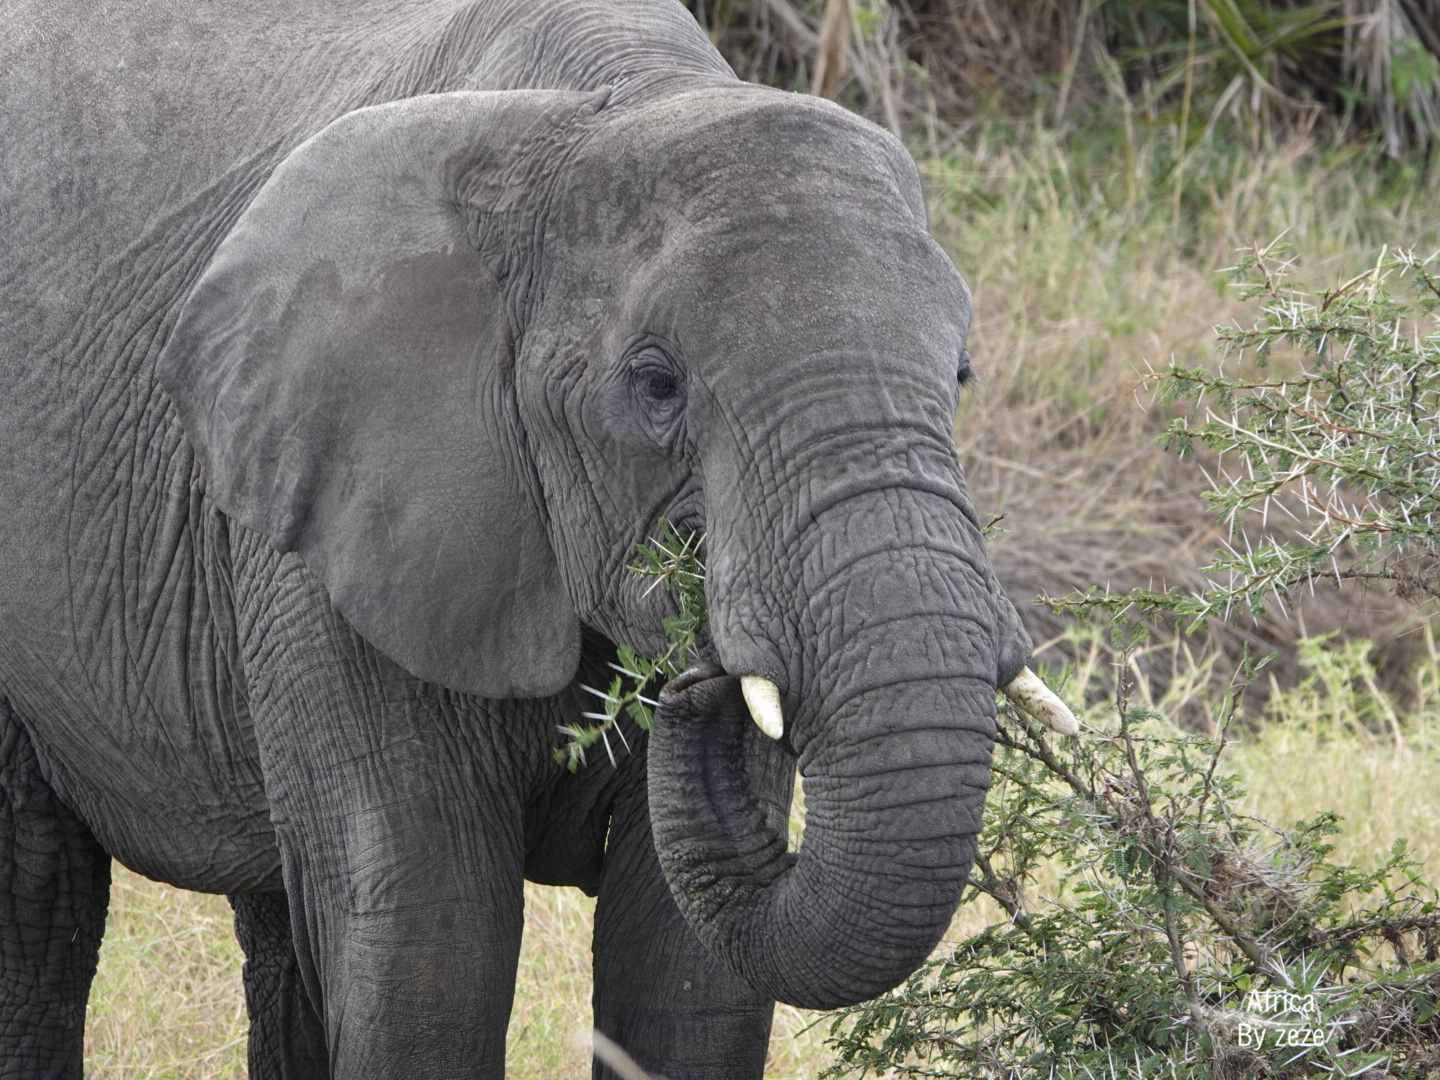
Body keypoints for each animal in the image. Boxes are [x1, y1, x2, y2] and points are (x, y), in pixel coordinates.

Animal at [2, 0, 1071, 1077]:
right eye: (656, 384)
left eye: (962, 373)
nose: (694, 672)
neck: (615, 99)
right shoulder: (334, 538)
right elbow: (428, 959)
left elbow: (685, 979)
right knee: (37, 903)